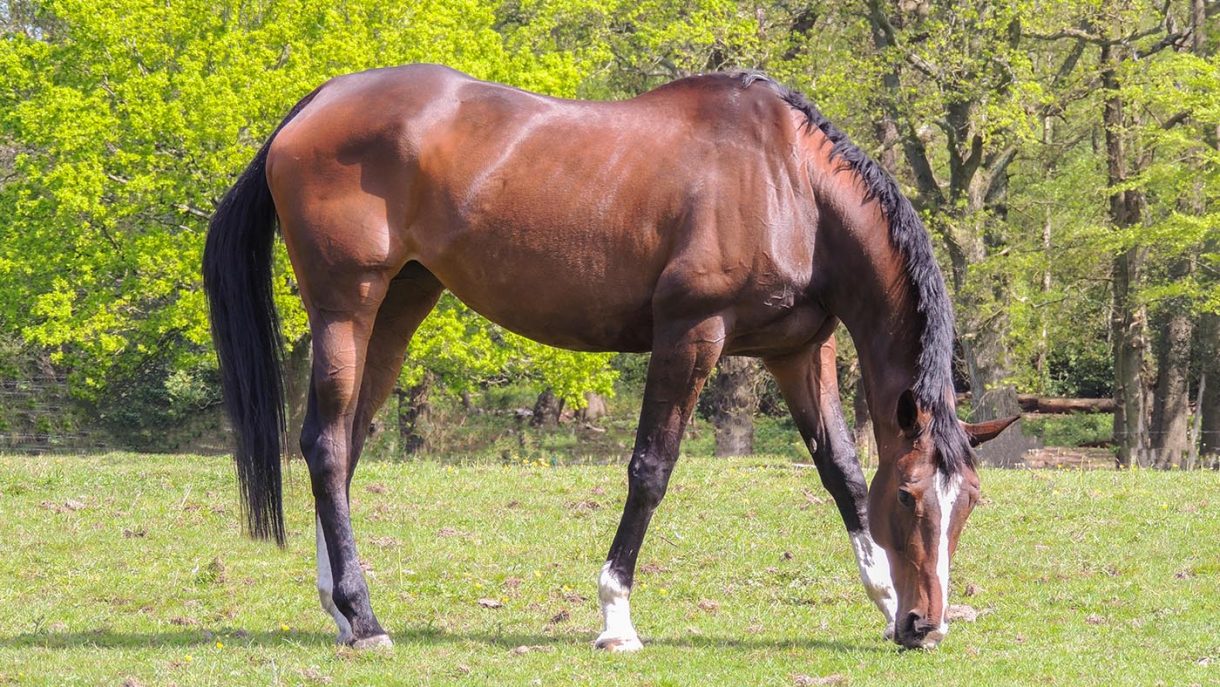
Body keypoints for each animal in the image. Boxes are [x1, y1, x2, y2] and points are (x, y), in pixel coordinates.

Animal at [202, 64, 1016, 652]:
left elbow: (841, 472)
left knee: (341, 447)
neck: (791, 183)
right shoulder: (691, 335)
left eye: (969, 503)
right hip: (347, 308)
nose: (926, 625)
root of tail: (316, 103)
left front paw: (882, 601)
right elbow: (650, 470)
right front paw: (616, 616)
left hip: (400, 305)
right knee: (325, 444)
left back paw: (342, 610)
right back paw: (363, 617)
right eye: (909, 497)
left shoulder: (797, 352)